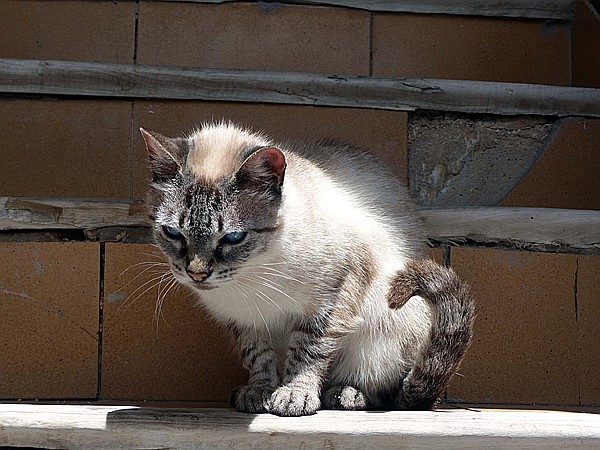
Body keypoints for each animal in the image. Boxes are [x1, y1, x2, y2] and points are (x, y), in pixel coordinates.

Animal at [141, 121, 474, 416]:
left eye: (233, 238)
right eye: (173, 233)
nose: (197, 274)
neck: (254, 273)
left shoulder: (331, 298)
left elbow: (308, 352)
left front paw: (293, 395)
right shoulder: (246, 320)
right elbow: (259, 358)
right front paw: (260, 392)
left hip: (383, 334)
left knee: (387, 392)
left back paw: (346, 394)